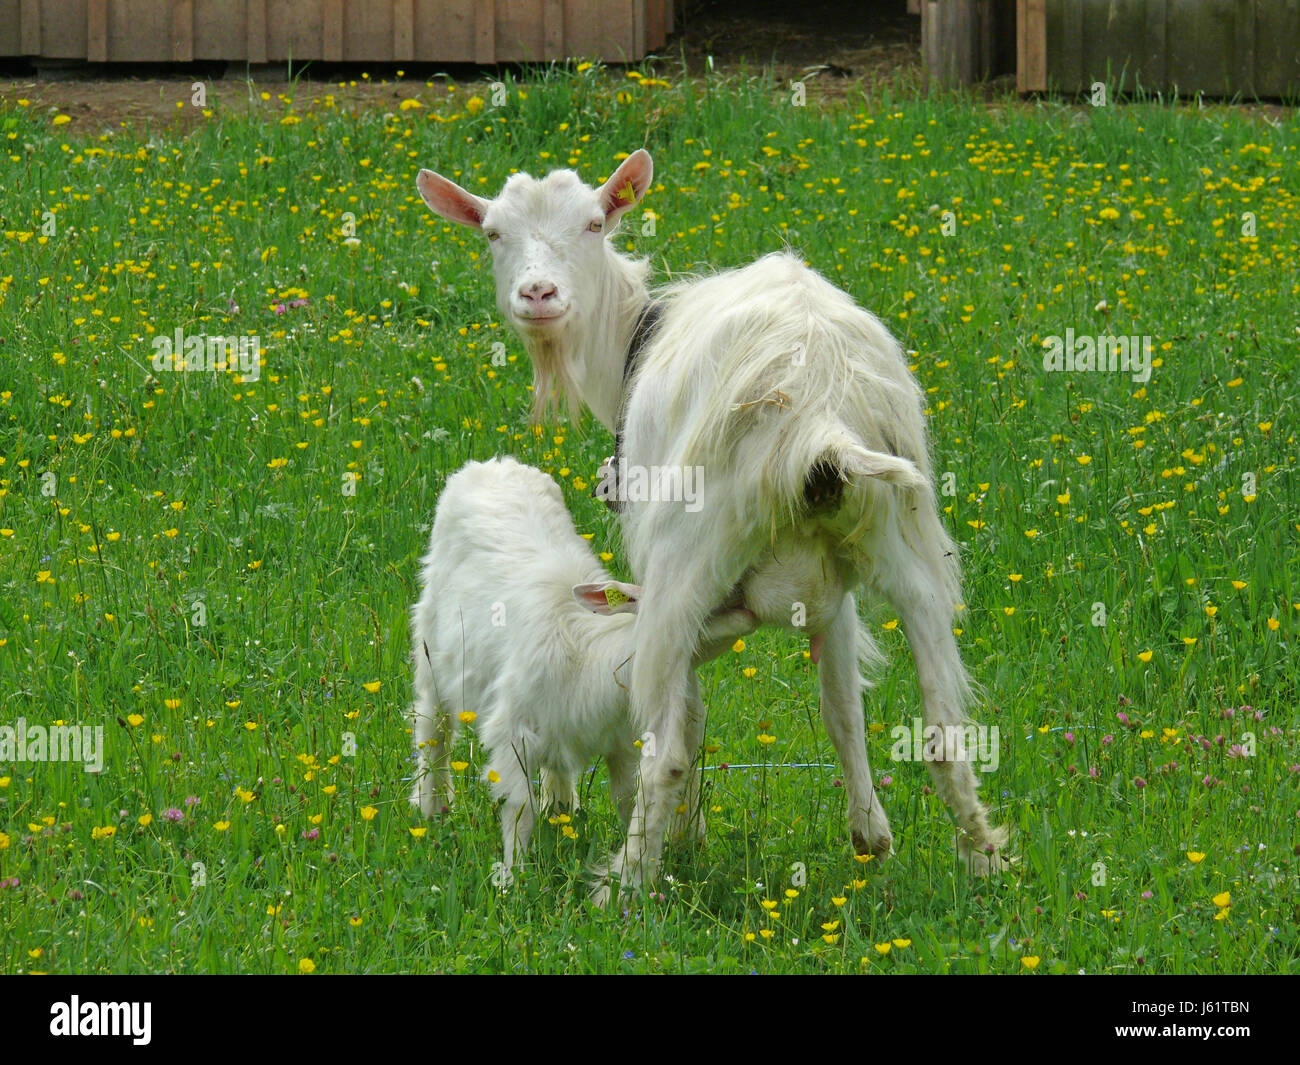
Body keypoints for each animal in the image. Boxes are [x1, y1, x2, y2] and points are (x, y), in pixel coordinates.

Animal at [416, 150, 1003, 899]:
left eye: (594, 222)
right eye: (493, 232)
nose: (539, 294)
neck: (632, 344)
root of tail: (819, 415)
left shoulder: (656, 586)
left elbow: (688, 718)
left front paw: (685, 838)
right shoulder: (831, 590)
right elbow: (843, 709)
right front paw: (872, 838)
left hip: (686, 560)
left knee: (665, 744)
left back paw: (627, 883)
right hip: (902, 539)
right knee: (945, 729)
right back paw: (984, 862)